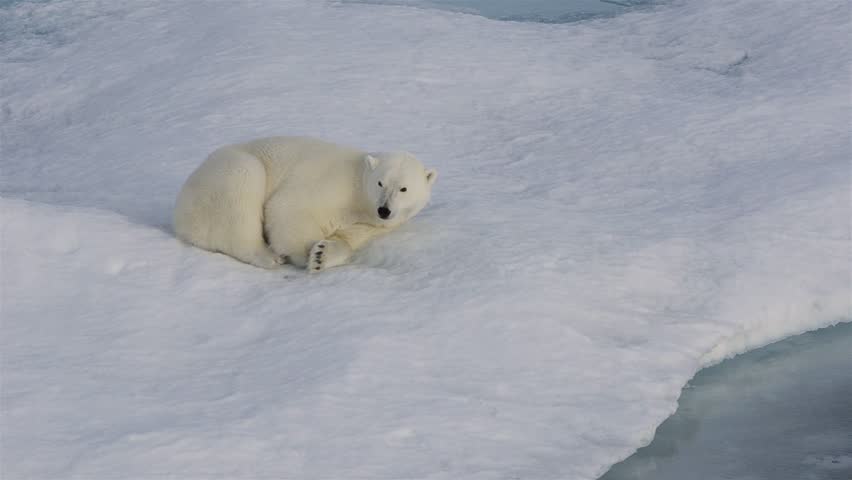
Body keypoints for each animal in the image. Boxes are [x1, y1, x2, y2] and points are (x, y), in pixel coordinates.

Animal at [173, 137, 440, 272]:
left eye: (403, 188)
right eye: (380, 182)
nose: (384, 210)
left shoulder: (374, 223)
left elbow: (350, 236)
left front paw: (321, 254)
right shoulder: (332, 182)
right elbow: (287, 207)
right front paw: (304, 254)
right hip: (229, 172)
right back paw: (268, 256)